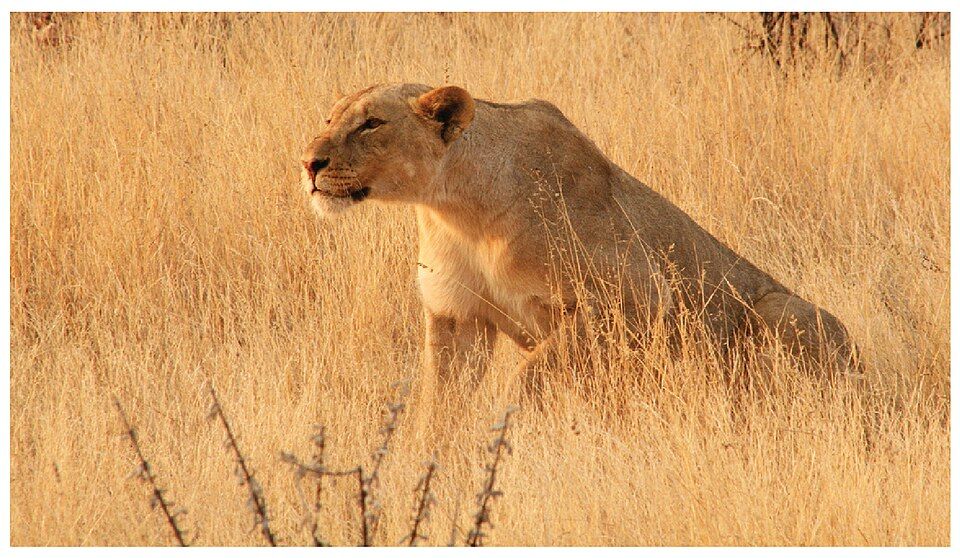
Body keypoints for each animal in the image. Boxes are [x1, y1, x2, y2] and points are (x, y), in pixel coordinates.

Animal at [299, 83, 860, 401]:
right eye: (329, 118)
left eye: (372, 123)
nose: (309, 163)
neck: (458, 210)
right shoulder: (457, 316)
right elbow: (440, 408)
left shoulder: (636, 300)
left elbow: (534, 372)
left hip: (782, 311)